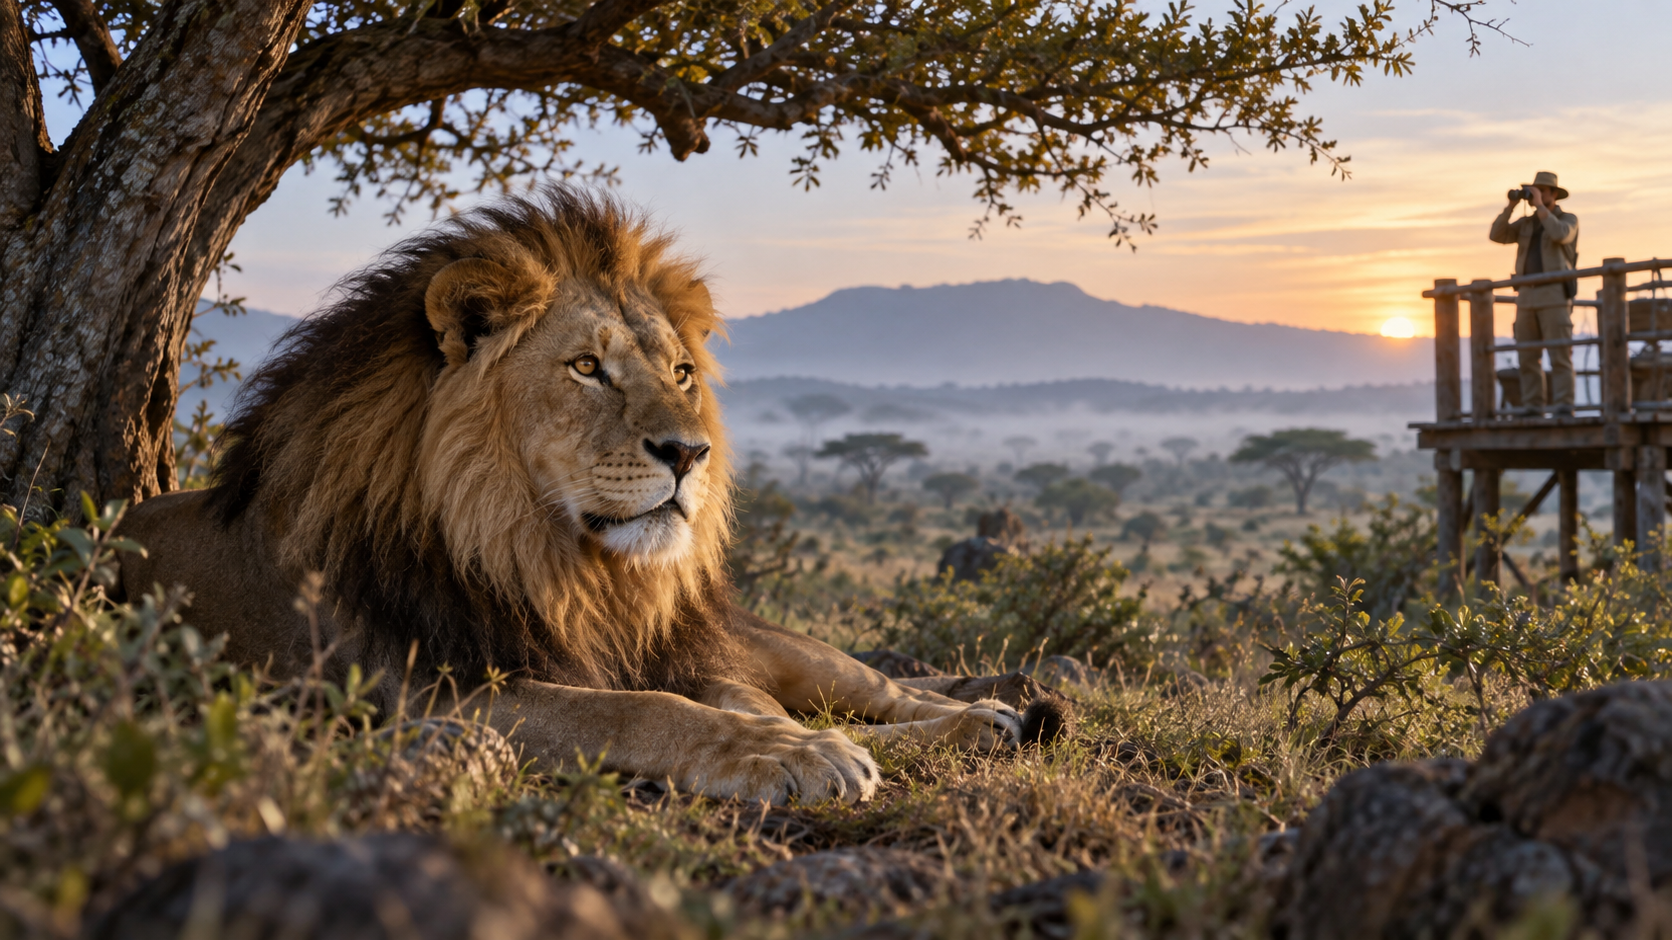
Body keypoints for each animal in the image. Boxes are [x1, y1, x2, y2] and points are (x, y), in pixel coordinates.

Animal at [118, 187, 1058, 805]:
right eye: (586, 367)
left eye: (680, 373)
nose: (690, 452)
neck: (558, 564)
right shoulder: (432, 693)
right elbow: (641, 710)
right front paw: (786, 752)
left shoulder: (674, 652)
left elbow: (720, 698)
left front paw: (792, 744)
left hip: (778, 644)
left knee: (883, 693)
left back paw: (985, 718)